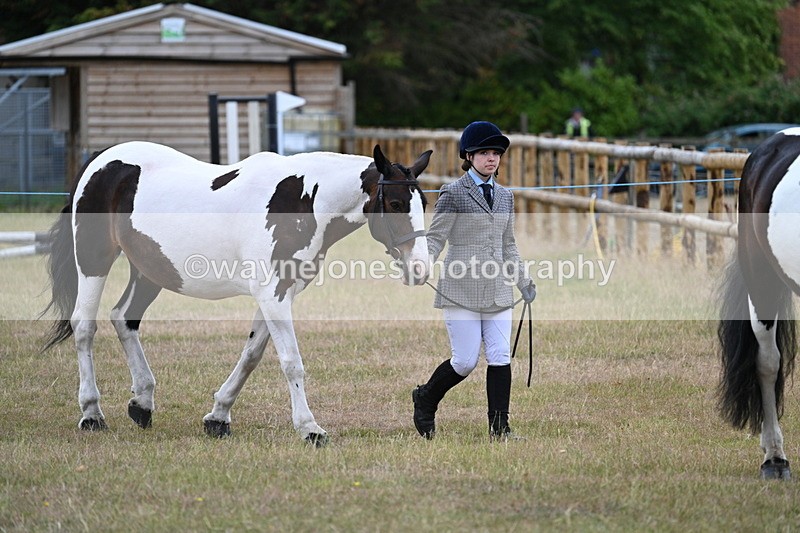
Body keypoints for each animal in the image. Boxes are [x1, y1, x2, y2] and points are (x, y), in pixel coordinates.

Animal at [41, 141, 432, 446]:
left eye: (423, 204)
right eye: (396, 204)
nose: (421, 269)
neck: (303, 200)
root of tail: (101, 160)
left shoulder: (278, 294)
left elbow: (251, 356)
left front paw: (218, 417)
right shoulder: (273, 295)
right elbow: (291, 362)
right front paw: (310, 429)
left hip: (151, 269)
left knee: (123, 318)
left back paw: (142, 404)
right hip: (93, 260)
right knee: (85, 327)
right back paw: (92, 414)